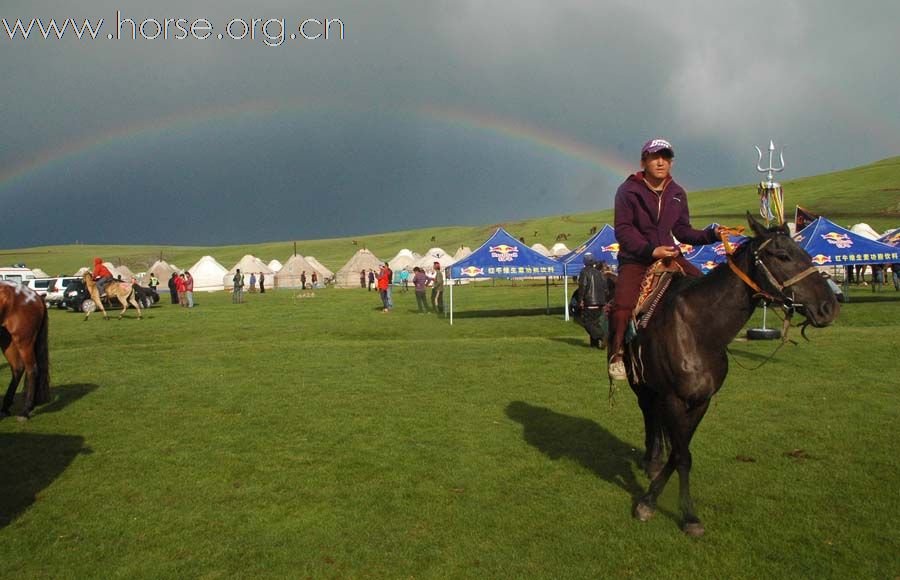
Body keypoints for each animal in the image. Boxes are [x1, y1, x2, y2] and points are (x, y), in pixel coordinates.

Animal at [0, 280, 51, 420]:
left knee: (32, 369)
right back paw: (5, 406)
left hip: (24, 341)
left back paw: (26, 410)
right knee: (17, 368)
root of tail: (35, 295)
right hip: (6, 340)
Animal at [624, 215, 836, 536]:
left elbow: (681, 453)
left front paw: (658, 497)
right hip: (641, 385)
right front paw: (668, 510)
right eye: (782, 255)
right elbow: (682, 455)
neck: (699, 329)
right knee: (649, 414)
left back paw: (653, 463)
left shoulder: (701, 400)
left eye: (808, 255)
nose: (829, 307)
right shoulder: (674, 398)